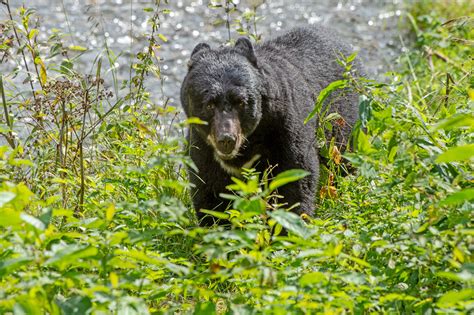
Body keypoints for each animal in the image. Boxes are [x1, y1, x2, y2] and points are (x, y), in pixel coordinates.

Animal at [181, 26, 360, 225]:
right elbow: (210, 191)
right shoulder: (202, 145)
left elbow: (295, 179)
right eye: (209, 104)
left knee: (343, 162)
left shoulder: (285, 128)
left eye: (241, 102)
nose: (226, 139)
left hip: (340, 120)